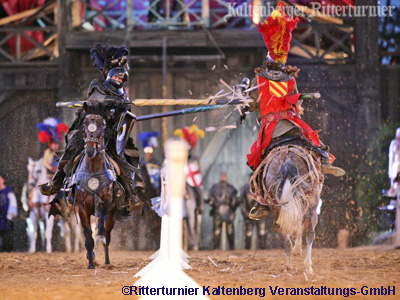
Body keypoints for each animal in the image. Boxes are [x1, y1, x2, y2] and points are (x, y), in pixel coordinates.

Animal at [250, 145, 324, 274]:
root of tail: (286, 158)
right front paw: (297, 249)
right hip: (312, 205)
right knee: (309, 232)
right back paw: (305, 265)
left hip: (279, 205)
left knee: (284, 231)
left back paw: (291, 263)